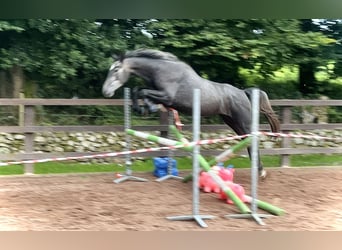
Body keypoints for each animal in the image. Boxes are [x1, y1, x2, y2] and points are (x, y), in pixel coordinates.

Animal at [102, 48, 280, 178]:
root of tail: (243, 93)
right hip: (232, 121)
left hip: (243, 121)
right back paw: (257, 169)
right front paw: (143, 108)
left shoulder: (167, 96)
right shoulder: (163, 98)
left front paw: (146, 108)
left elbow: (143, 91)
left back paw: (261, 171)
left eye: (116, 69)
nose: (105, 92)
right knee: (247, 142)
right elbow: (138, 90)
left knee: (252, 141)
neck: (161, 70)